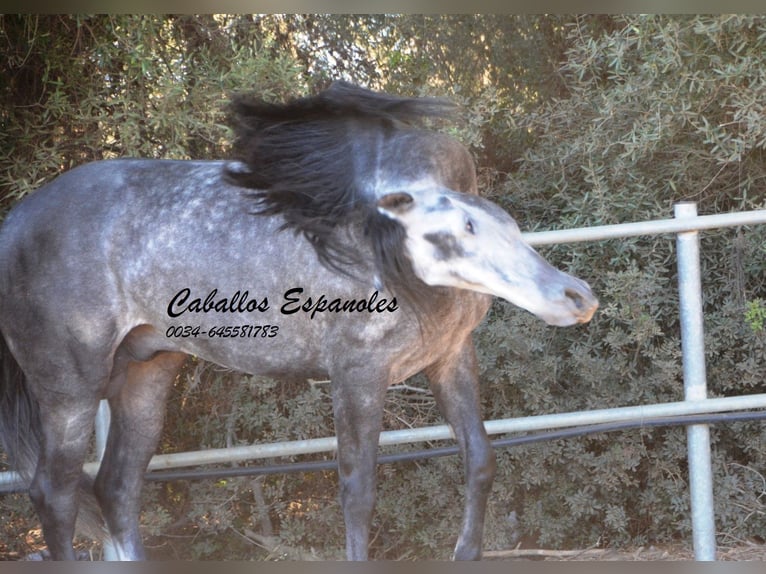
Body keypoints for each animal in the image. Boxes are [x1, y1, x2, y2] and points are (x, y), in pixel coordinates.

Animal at [0, 82, 600, 564]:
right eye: (464, 228)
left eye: (509, 225)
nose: (577, 297)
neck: (382, 251)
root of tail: (13, 225)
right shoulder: (357, 374)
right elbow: (358, 491)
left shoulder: (451, 358)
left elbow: (478, 459)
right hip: (70, 391)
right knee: (55, 494)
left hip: (145, 376)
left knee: (117, 489)